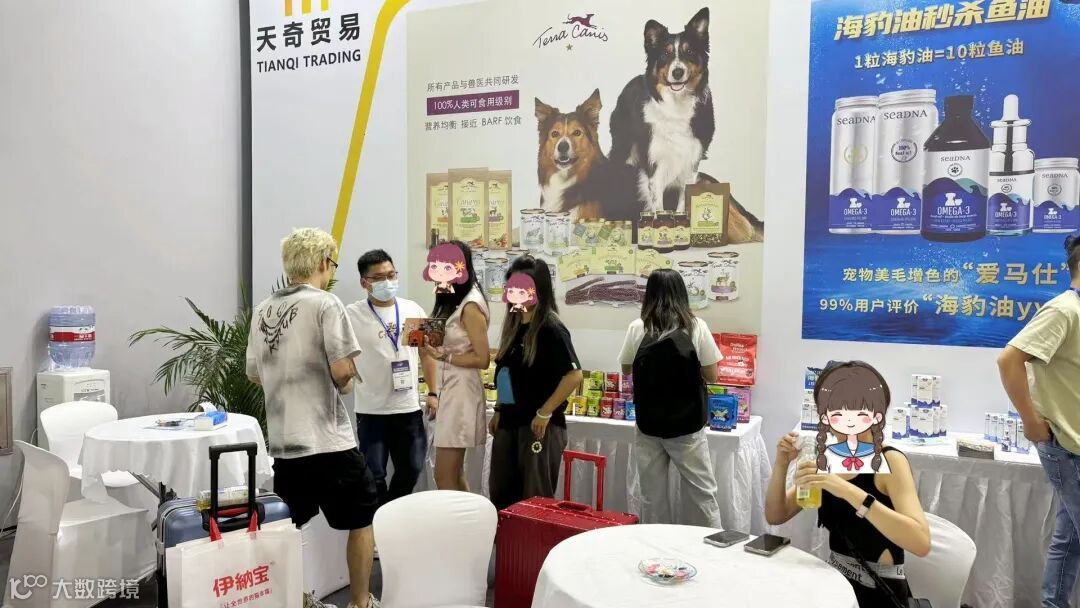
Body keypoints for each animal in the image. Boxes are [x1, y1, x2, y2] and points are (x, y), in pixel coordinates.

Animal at [609, 7, 714, 214]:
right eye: (665, 54)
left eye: (689, 51)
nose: (677, 72)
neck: (675, 106)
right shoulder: (654, 162)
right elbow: (657, 203)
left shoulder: (691, 161)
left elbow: (682, 203)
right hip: (622, 147)